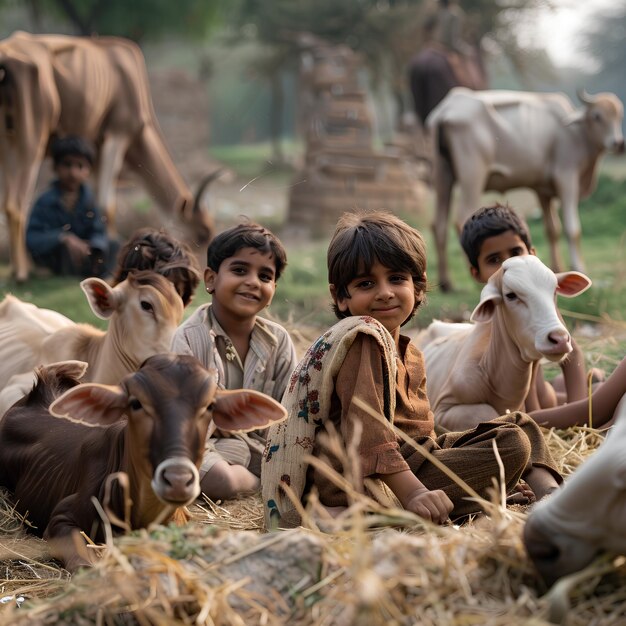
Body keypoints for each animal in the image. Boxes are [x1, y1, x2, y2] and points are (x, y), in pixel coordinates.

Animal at [0, 31, 219, 280]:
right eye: (202, 234)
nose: (200, 273)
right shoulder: (117, 134)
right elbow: (106, 205)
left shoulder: (95, 155)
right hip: (30, 142)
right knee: (16, 204)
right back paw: (22, 272)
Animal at [426, 87, 620, 290]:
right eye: (597, 116)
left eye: (619, 115)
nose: (617, 142)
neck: (576, 133)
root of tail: (446, 109)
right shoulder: (567, 177)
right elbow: (572, 228)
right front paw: (579, 267)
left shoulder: (542, 190)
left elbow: (552, 229)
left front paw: (555, 267)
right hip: (473, 176)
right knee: (461, 218)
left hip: (442, 175)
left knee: (438, 224)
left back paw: (446, 282)